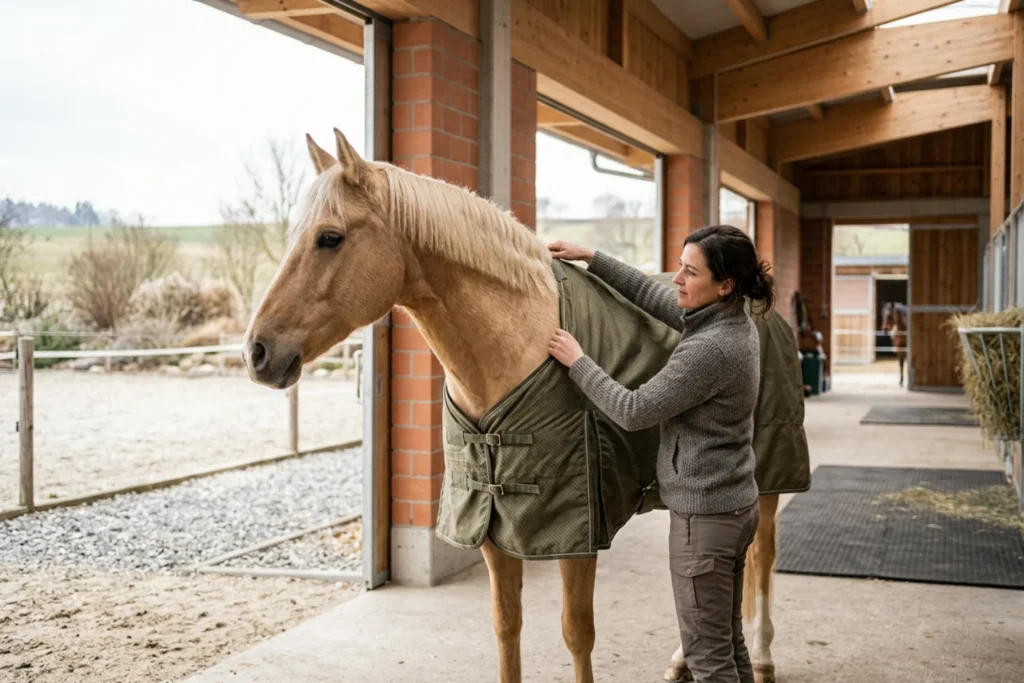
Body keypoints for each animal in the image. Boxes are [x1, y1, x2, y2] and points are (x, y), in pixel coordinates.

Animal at [242, 128, 790, 683]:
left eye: (330, 237)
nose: (257, 352)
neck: (521, 341)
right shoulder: (489, 522)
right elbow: (507, 626)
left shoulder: (577, 529)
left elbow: (577, 633)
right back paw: (683, 658)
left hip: (764, 481)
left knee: (761, 555)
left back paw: (764, 653)